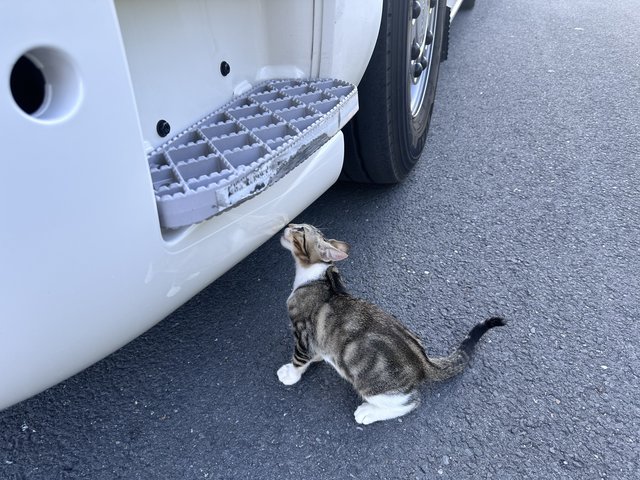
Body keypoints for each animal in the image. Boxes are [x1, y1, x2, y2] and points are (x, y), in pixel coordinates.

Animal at [278, 223, 504, 426]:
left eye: (300, 230)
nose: (288, 225)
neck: (316, 277)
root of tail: (423, 360)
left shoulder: (302, 333)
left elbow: (299, 359)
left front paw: (290, 374)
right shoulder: (315, 338)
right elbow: (315, 352)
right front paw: (317, 358)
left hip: (371, 385)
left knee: (411, 402)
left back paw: (368, 412)